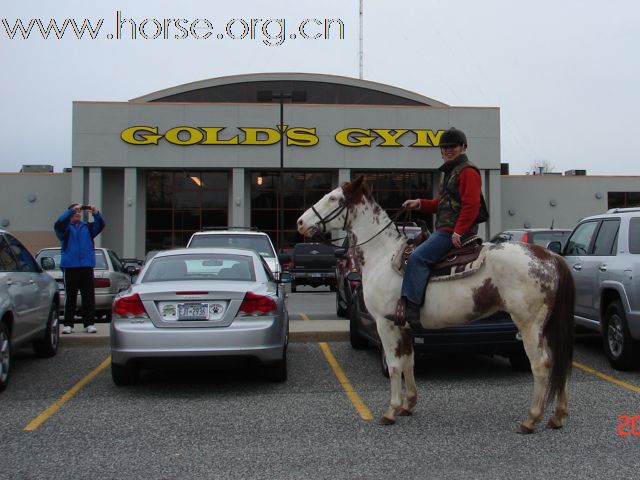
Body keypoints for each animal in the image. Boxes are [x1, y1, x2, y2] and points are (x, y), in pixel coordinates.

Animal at [298, 174, 576, 434]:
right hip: (548, 326)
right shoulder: (405, 326)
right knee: (558, 361)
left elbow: (395, 365)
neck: (382, 256)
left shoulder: (385, 324)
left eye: (334, 198)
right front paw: (408, 405)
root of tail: (550, 256)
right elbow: (408, 363)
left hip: (529, 325)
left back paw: (531, 419)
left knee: (541, 364)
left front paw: (391, 411)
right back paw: (558, 417)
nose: (301, 222)